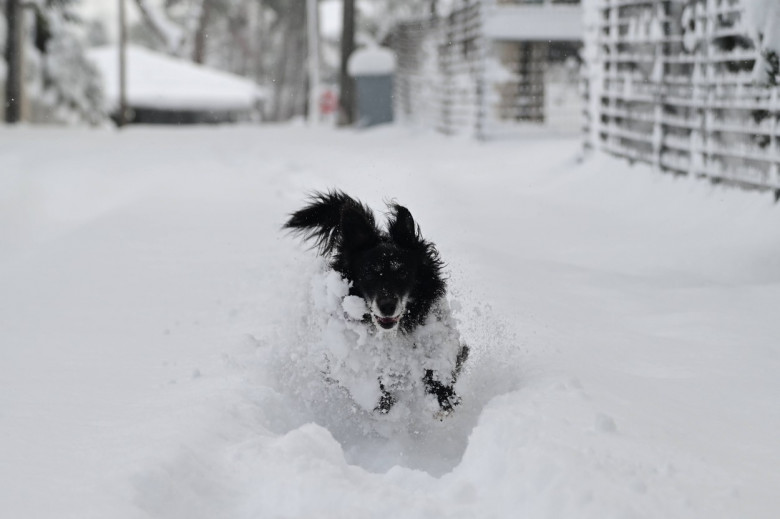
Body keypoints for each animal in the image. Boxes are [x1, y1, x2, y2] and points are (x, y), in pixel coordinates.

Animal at [286, 191, 470, 414]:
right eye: (368, 273)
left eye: (403, 272)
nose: (387, 306)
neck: (391, 334)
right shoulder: (347, 356)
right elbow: (369, 386)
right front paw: (385, 405)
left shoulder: (436, 334)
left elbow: (439, 362)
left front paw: (442, 397)